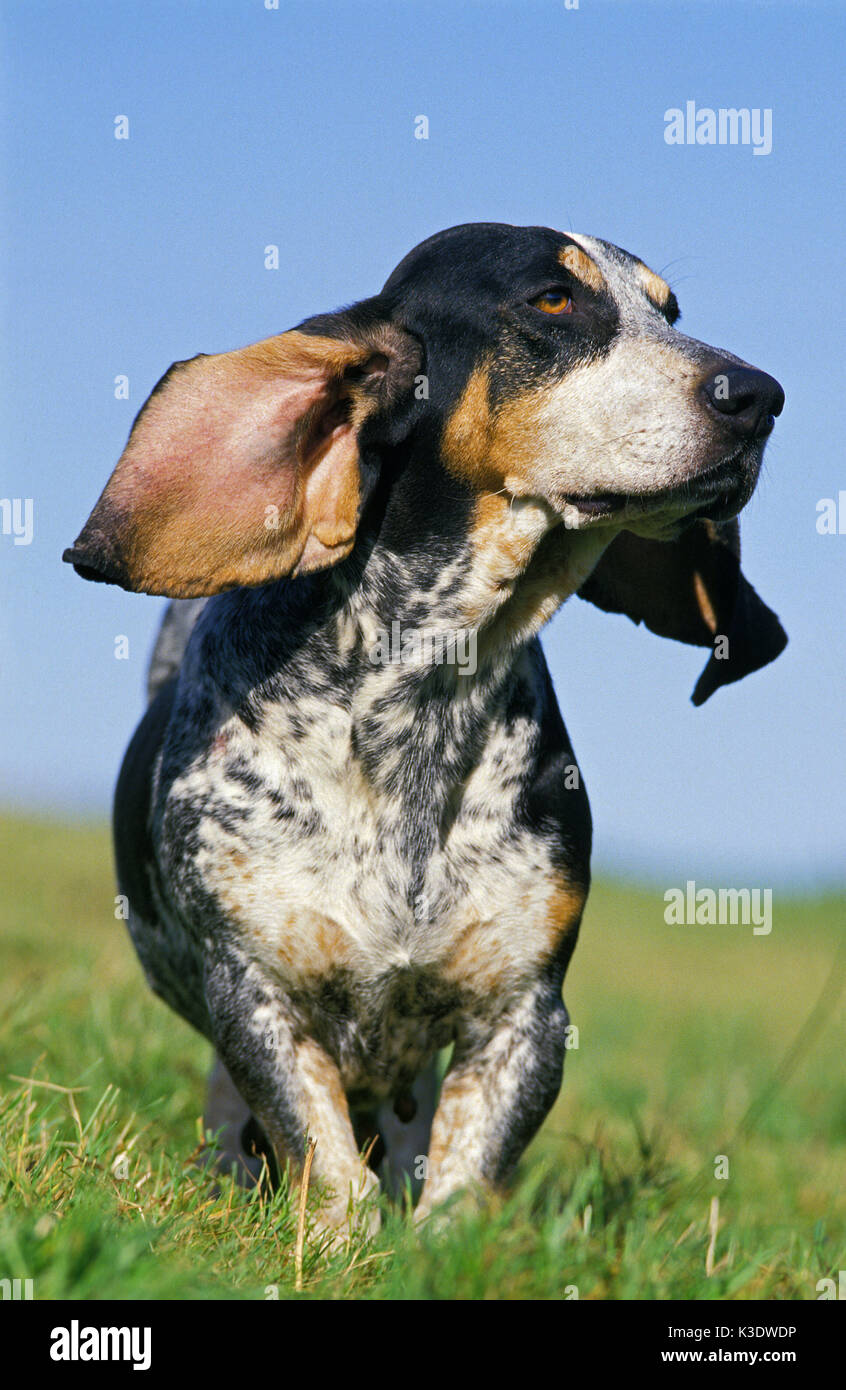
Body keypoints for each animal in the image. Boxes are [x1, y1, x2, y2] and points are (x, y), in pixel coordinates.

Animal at [64, 222, 783, 1234]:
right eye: (553, 300)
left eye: (669, 311)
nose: (759, 396)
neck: (424, 698)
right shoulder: (256, 992)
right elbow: (326, 1163)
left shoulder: (526, 1013)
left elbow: (462, 1186)